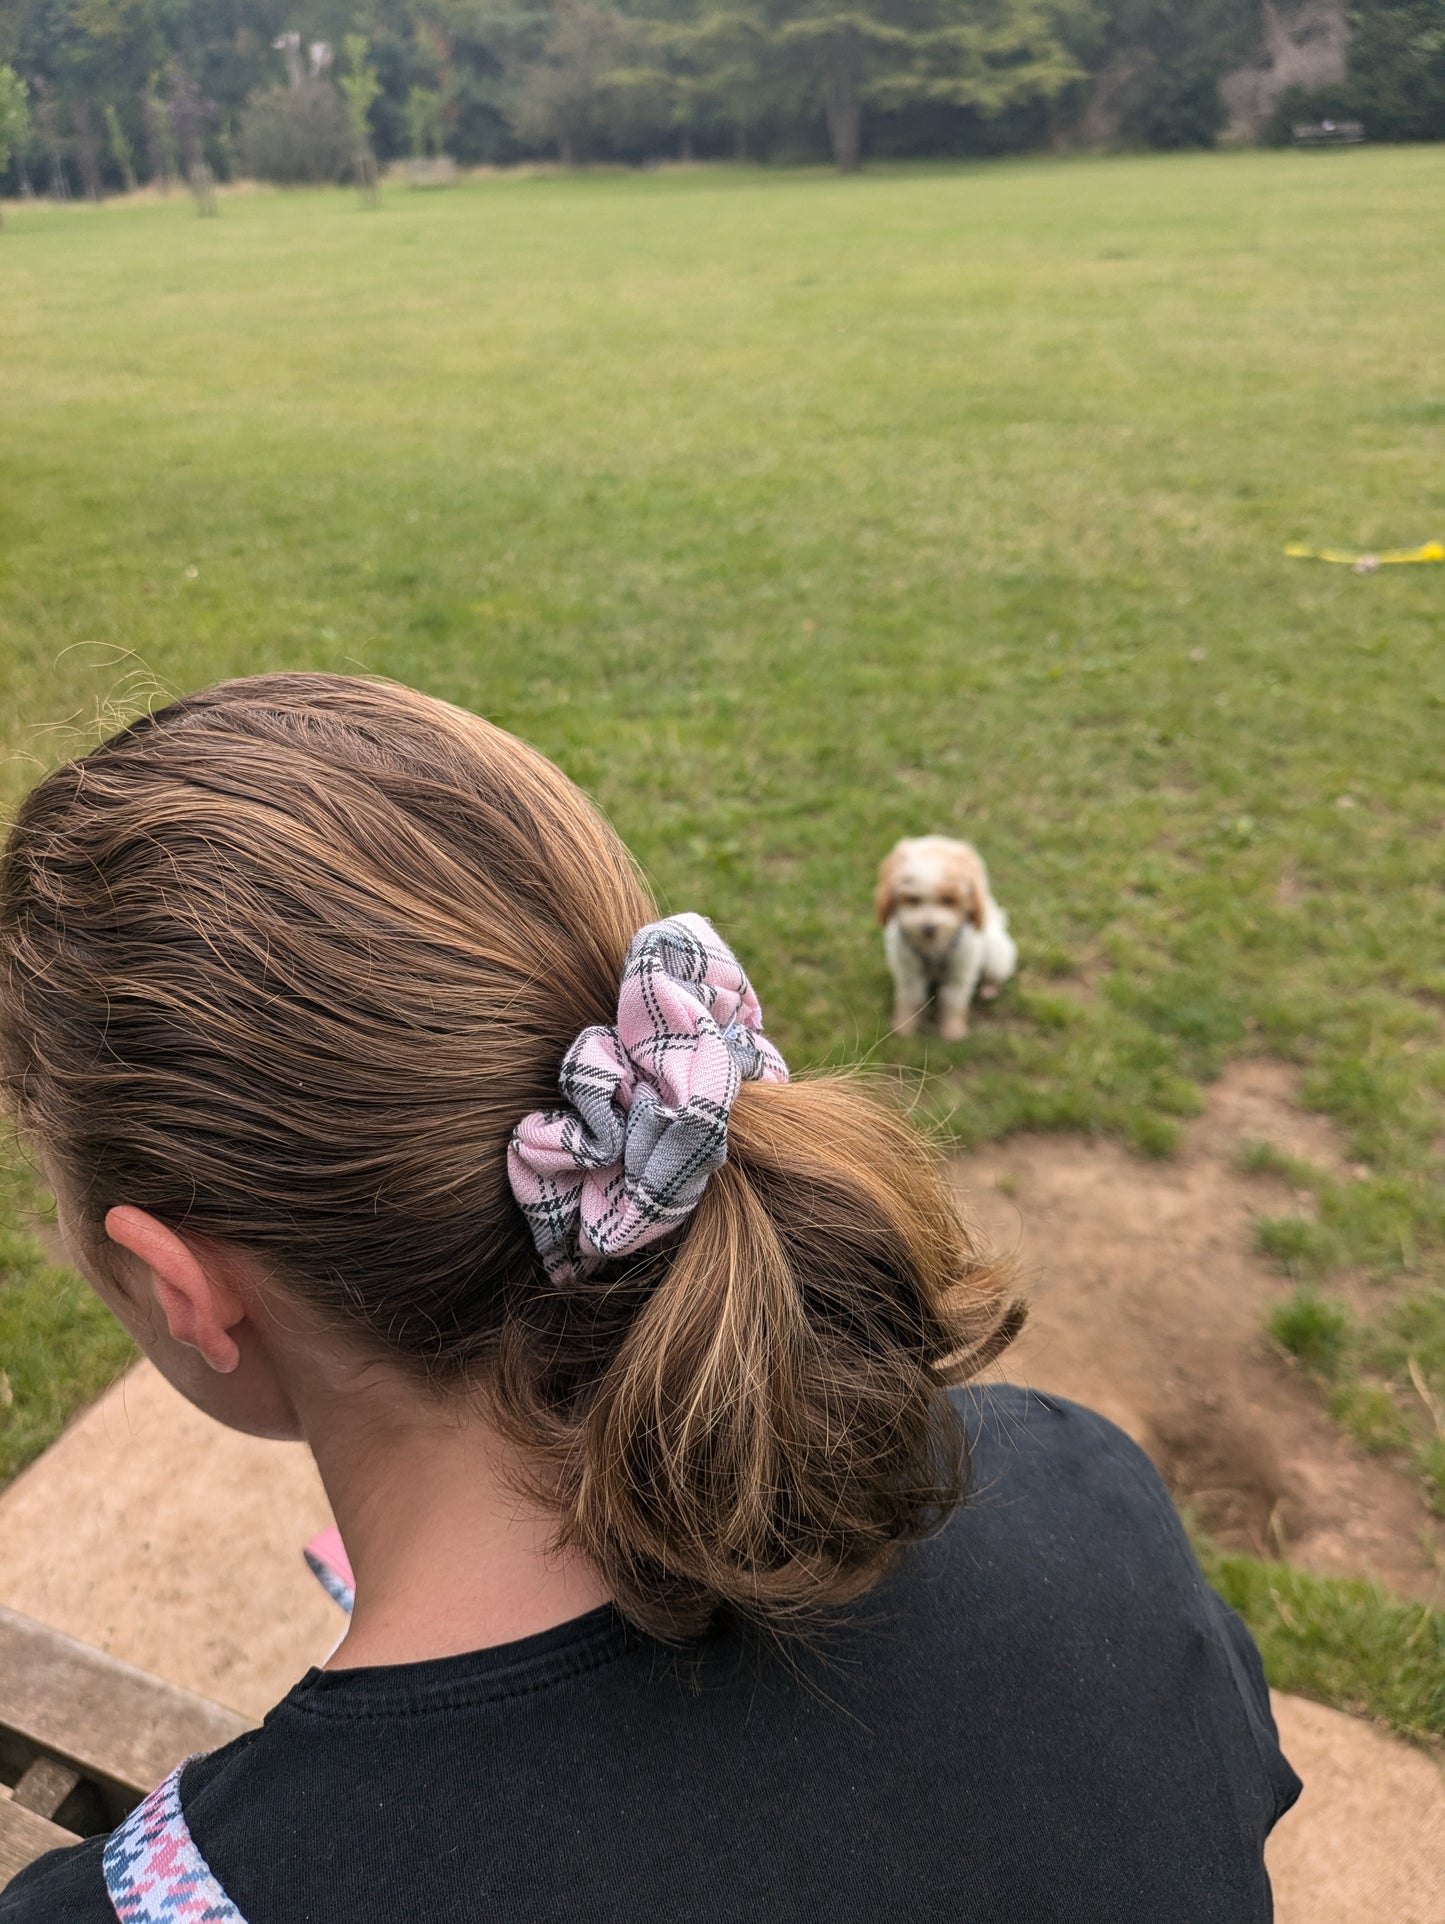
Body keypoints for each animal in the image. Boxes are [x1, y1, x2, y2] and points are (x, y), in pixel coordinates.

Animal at [869, 838, 1015, 1046]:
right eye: (913, 899)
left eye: (948, 900)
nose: (929, 928)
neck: (933, 948)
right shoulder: (908, 971)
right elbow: (911, 998)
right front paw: (904, 1027)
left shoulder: (960, 971)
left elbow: (953, 1002)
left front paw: (953, 1032)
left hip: (996, 954)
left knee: (995, 974)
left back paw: (989, 989)